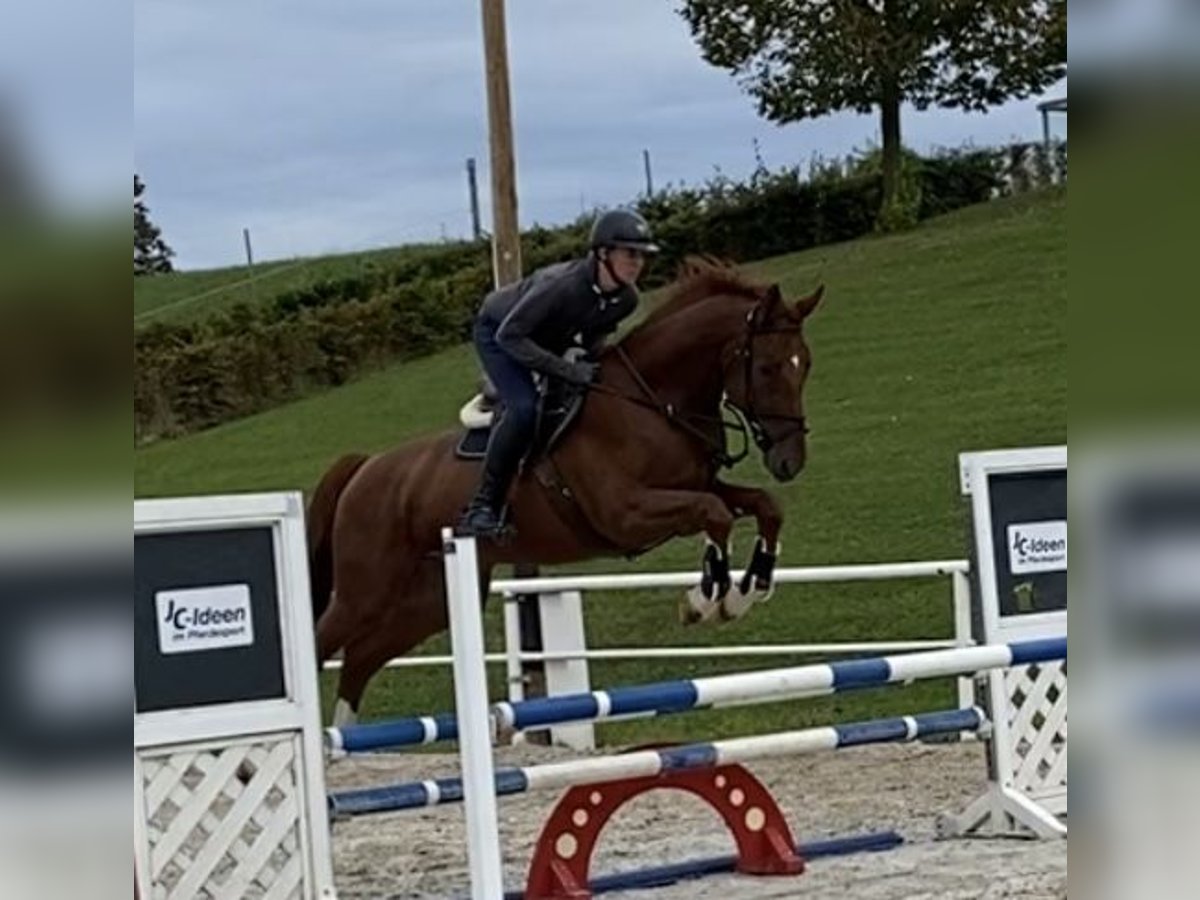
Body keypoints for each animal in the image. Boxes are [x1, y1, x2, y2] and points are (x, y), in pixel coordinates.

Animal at [304, 260, 820, 724]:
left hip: (428, 601)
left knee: (361, 657)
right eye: (768, 368)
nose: (790, 462)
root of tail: (364, 467)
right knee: (322, 641)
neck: (653, 400)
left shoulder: (698, 485)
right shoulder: (625, 514)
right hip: (365, 593)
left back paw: (338, 746)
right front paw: (705, 600)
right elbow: (715, 514)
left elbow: (763, 506)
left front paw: (747, 592)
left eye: (806, 365)